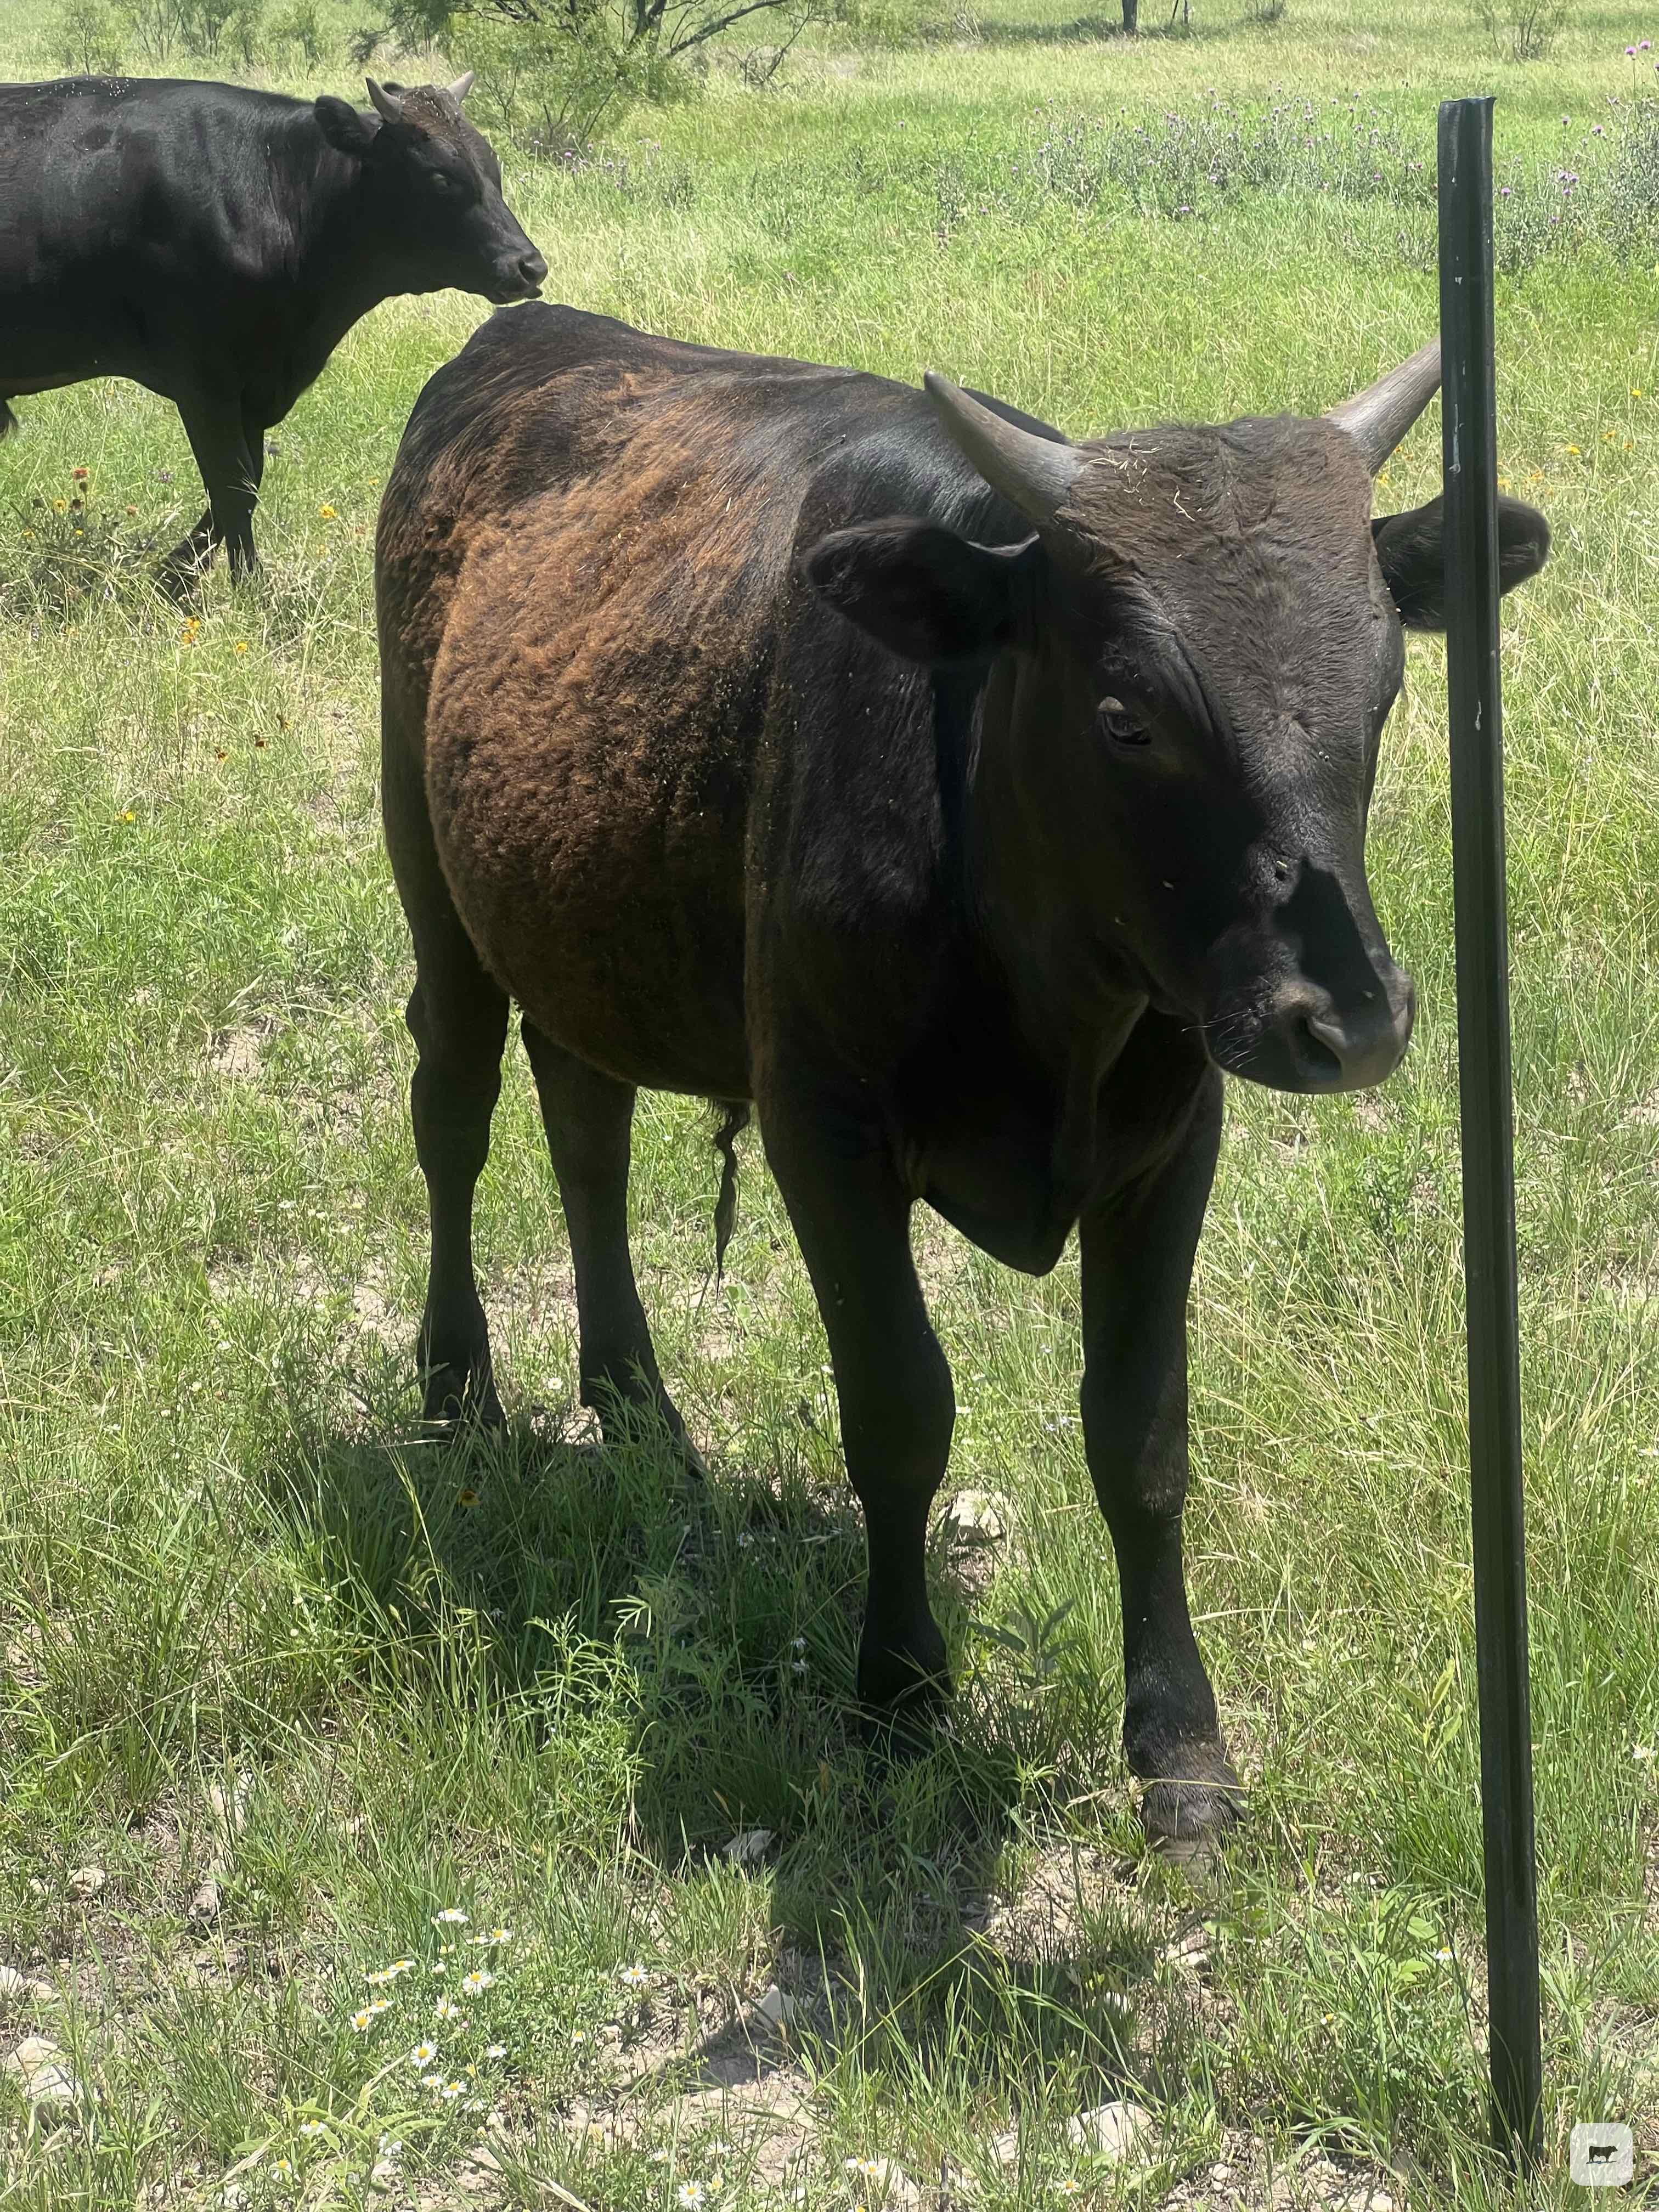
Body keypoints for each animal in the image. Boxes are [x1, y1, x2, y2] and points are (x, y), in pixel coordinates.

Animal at [0, 71, 546, 578]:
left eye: (492, 167)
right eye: (439, 178)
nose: (530, 266)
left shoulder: (253, 386)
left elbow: (245, 483)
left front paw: (173, 578)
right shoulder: (204, 379)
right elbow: (234, 487)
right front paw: (242, 586)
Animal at [375, 304, 1549, 1851]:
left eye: (1387, 686)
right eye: (1128, 717)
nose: (1348, 1021)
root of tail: (520, 332)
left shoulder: (1172, 1137)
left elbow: (1141, 1432)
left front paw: (1180, 1742)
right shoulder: (825, 1130)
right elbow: (900, 1411)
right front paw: (897, 1692)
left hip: (580, 928)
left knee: (587, 1133)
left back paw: (634, 1402)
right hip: (434, 888)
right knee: (453, 1116)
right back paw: (460, 1390)